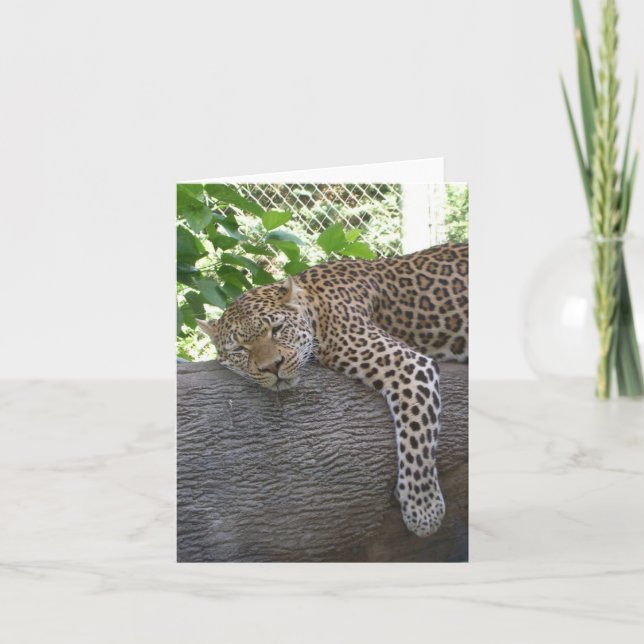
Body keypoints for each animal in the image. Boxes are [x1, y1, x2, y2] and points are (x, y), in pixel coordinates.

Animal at [197, 243, 468, 537]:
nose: (272, 366)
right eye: (239, 349)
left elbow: (417, 436)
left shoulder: (408, 365)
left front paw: (423, 509)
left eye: (277, 329)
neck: (314, 305)